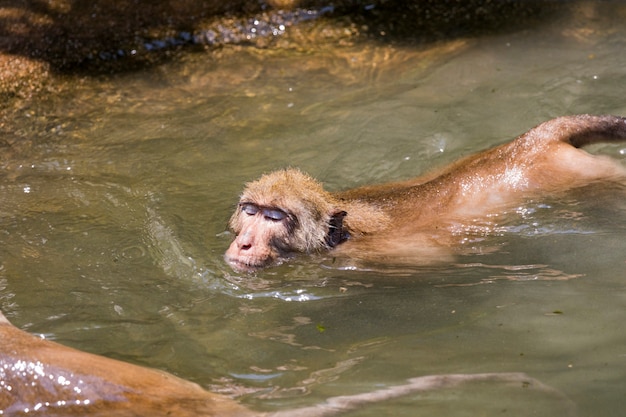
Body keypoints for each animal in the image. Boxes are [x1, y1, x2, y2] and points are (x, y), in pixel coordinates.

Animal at [224, 114, 624, 270]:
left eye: (275, 217)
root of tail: (531, 141)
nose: (244, 243)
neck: (343, 236)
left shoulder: (395, 256)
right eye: (251, 211)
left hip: (588, 172)